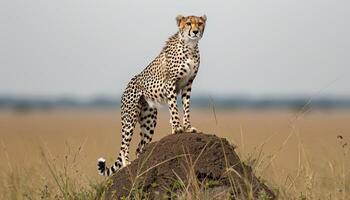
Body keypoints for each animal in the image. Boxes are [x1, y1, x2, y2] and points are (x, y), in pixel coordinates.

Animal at [98, 14, 208, 176]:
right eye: (188, 23)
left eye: (199, 23)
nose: (195, 31)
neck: (190, 46)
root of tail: (126, 88)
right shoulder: (171, 83)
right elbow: (173, 107)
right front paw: (177, 128)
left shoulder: (188, 84)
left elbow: (186, 107)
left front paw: (188, 127)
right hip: (130, 117)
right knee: (124, 146)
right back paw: (127, 165)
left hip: (149, 120)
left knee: (139, 147)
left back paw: (140, 163)